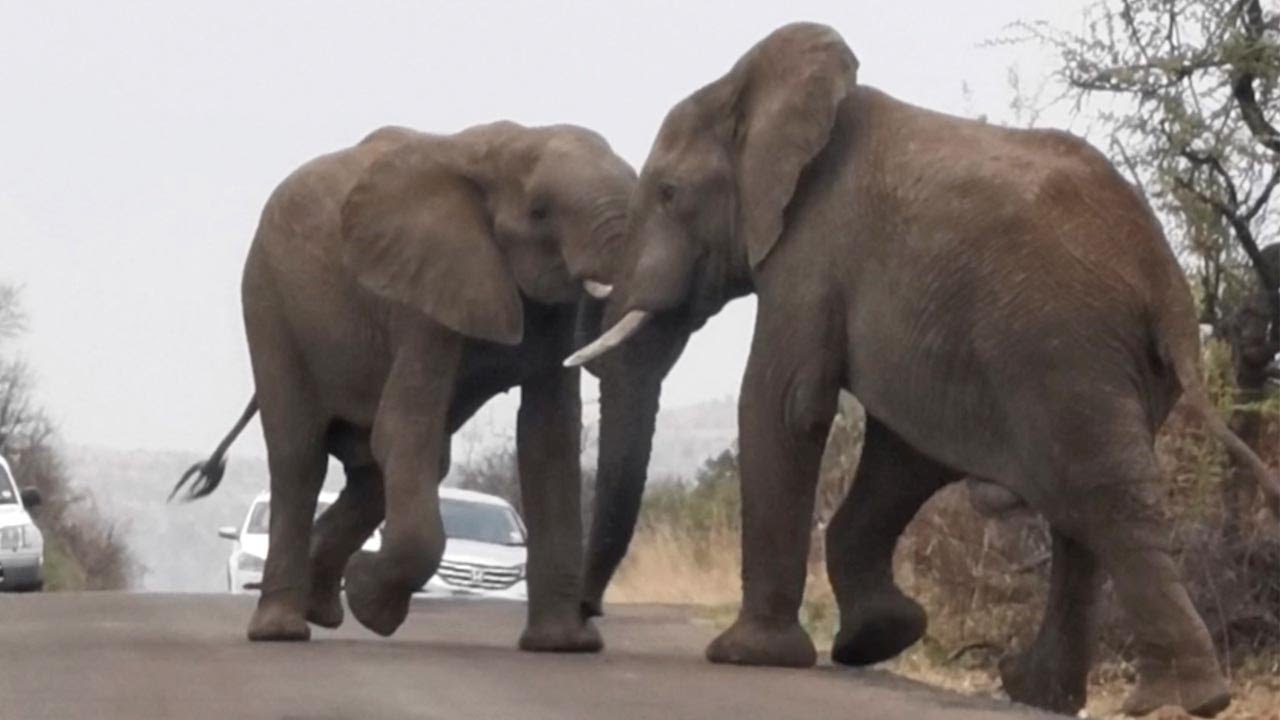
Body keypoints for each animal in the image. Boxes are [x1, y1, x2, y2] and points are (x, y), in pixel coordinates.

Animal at [174, 120, 638, 653]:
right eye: (540, 211)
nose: (593, 609)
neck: (511, 145)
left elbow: (548, 440)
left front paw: (564, 646)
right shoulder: (421, 292)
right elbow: (404, 427)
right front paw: (371, 605)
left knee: (383, 467)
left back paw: (323, 607)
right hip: (268, 303)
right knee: (300, 457)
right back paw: (282, 630)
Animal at [569, 22, 1280, 718]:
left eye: (669, 194)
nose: (586, 622)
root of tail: (1165, 280)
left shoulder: (810, 249)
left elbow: (785, 406)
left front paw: (748, 656)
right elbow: (904, 453)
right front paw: (880, 637)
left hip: (1062, 346)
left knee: (1099, 498)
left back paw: (1183, 700)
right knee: (1083, 509)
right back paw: (1052, 693)